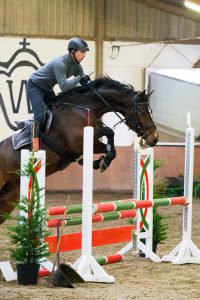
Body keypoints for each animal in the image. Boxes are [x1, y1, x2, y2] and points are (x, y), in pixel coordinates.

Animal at [0, 76, 159, 224]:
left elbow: (111, 147)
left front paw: (100, 162)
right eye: (143, 112)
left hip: (11, 194)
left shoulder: (92, 144)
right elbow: (109, 131)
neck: (83, 108)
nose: (154, 139)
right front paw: (96, 162)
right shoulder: (76, 142)